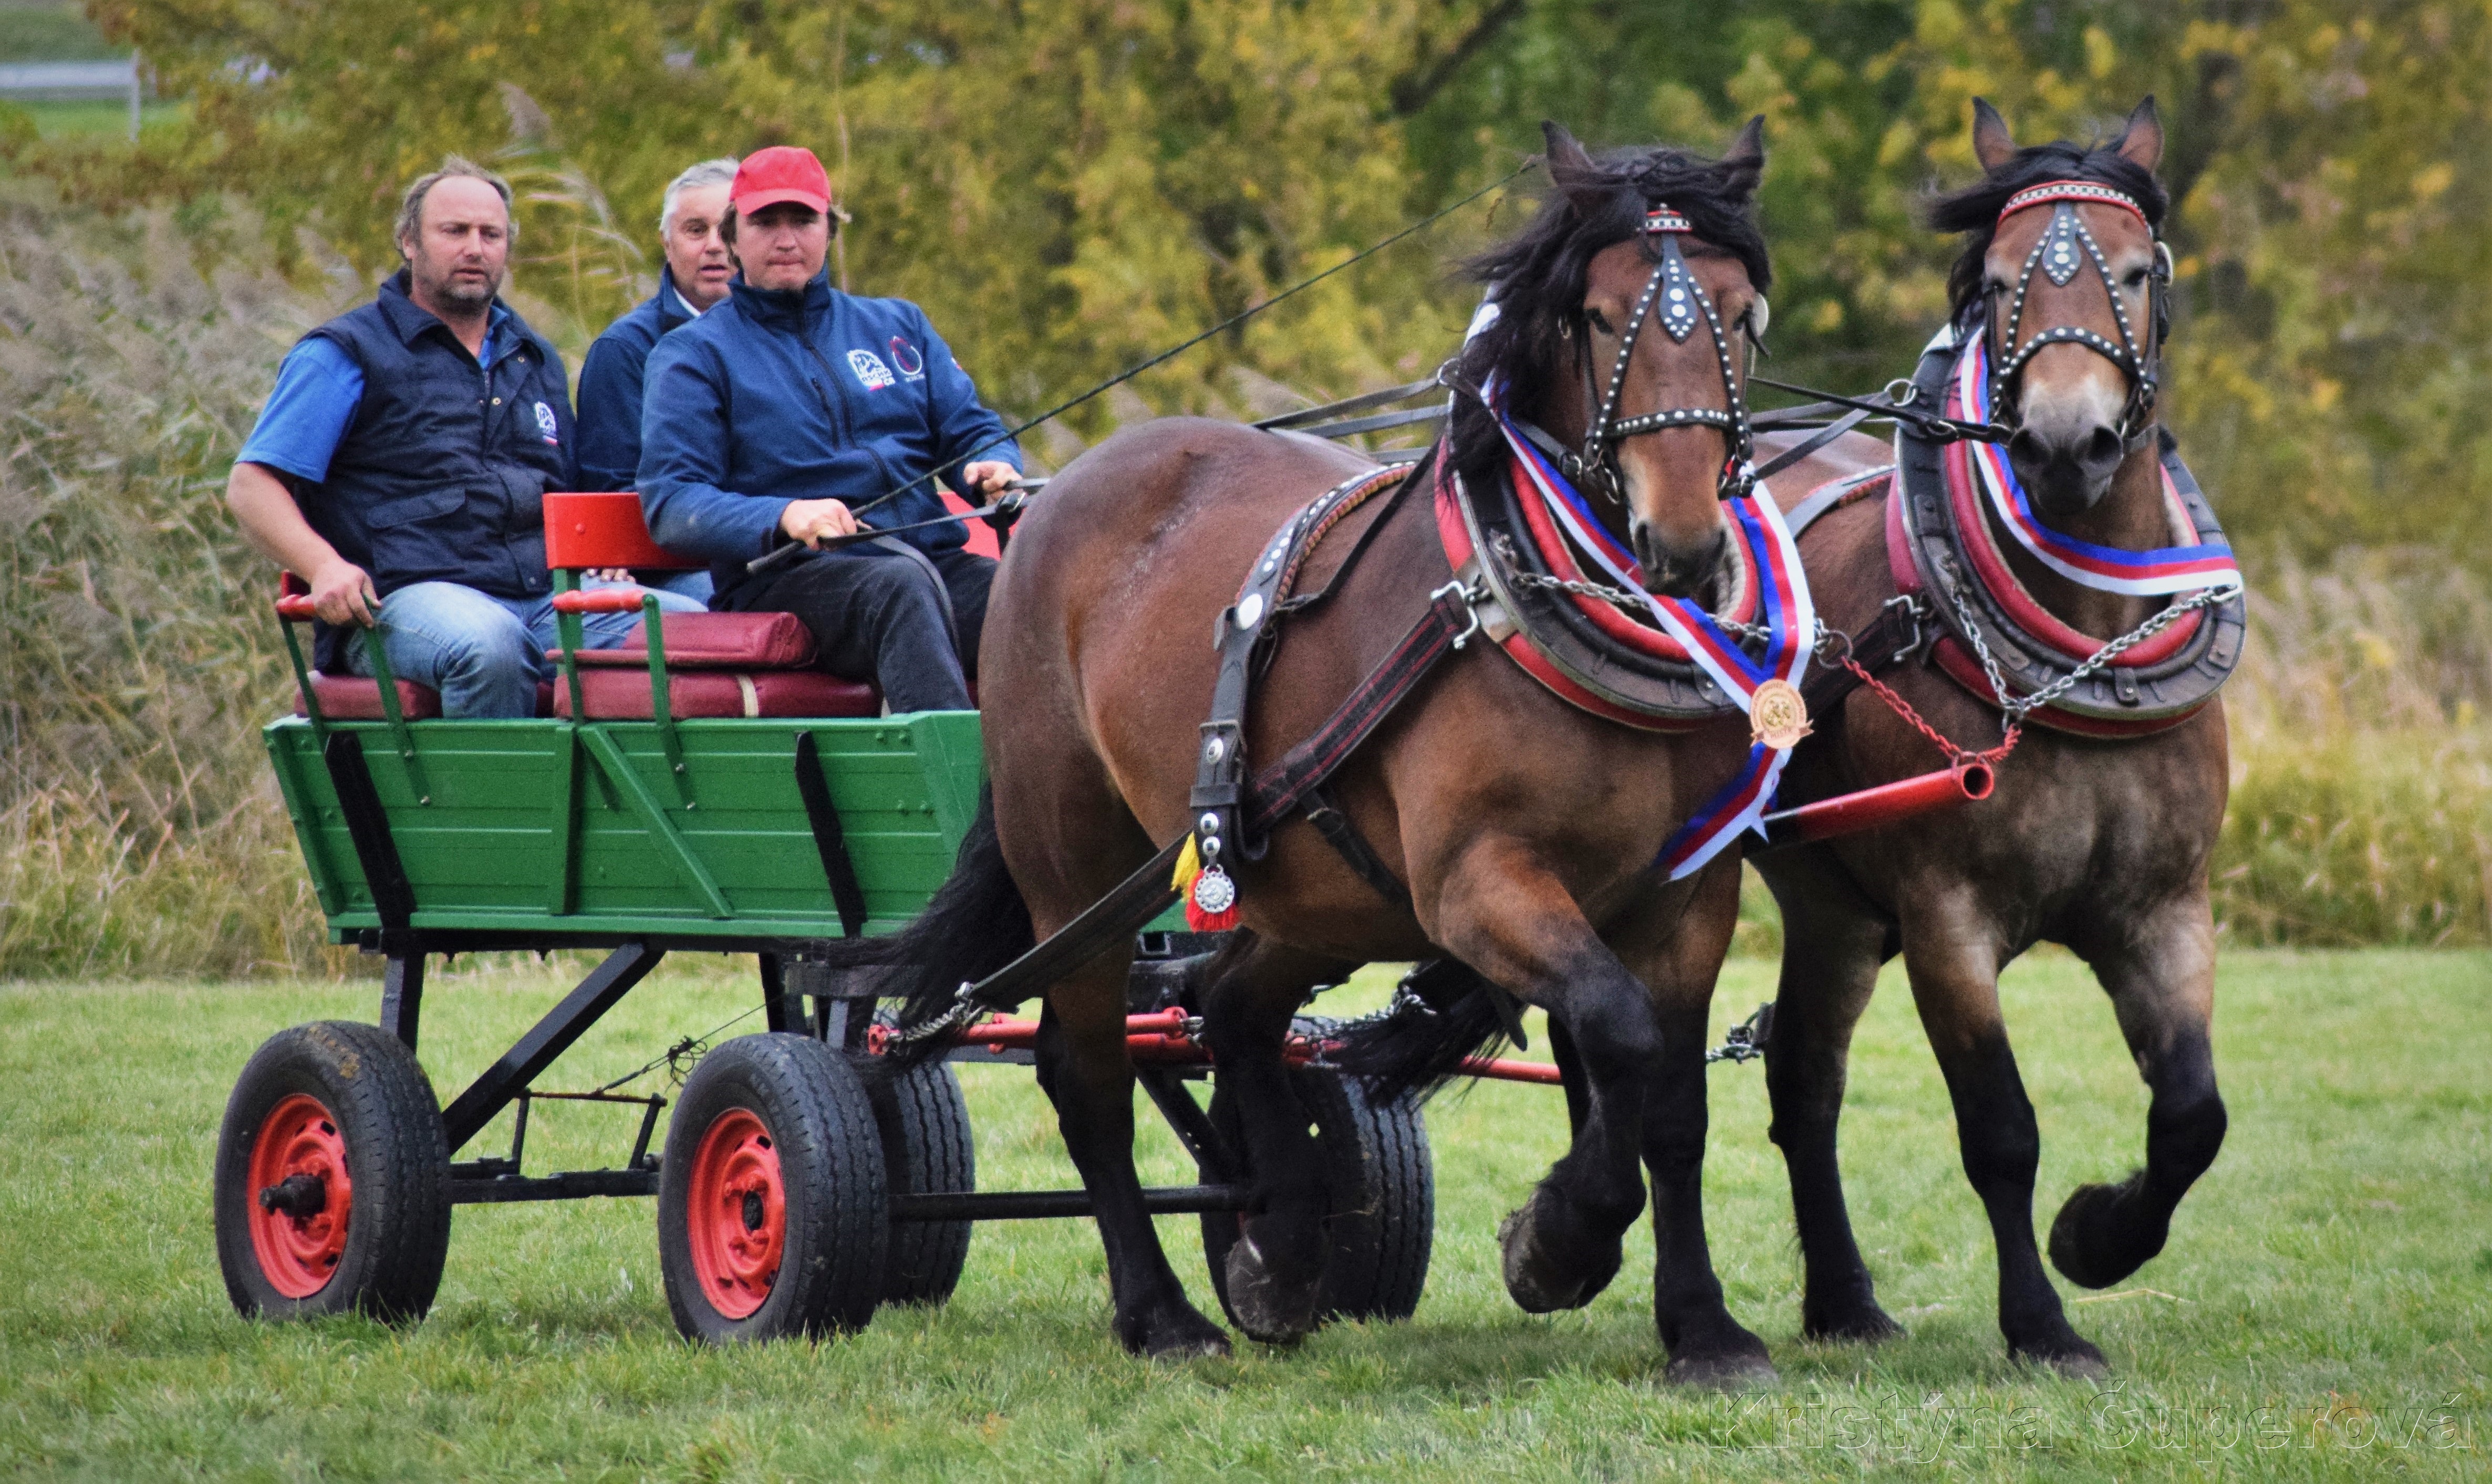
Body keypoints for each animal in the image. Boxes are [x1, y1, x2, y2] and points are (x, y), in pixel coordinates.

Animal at [857, 119, 1814, 1384]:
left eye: (1742, 313)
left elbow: (1666, 1101)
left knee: (1228, 1009)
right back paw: (1162, 1312)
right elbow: (1614, 1030)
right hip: (1073, 859)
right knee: (1090, 1072)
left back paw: (1284, 1239)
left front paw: (1700, 1325)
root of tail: (1052, 492)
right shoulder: (1476, 886)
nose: (1685, 541)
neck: (1522, 603)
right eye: (1599, 317)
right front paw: (1556, 1240)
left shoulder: (1687, 896)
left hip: (1315, 890)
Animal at [1744, 92, 2252, 1374]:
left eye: (2137, 271)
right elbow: (2000, 1131)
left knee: (1801, 1080)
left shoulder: (2164, 909)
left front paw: (2098, 1237)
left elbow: (2192, 1115)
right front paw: (2042, 1323)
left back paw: (1842, 1301)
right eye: (1998, 279)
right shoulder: (1946, 922)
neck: (2080, 662)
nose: (2064, 442)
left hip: (1828, 906)